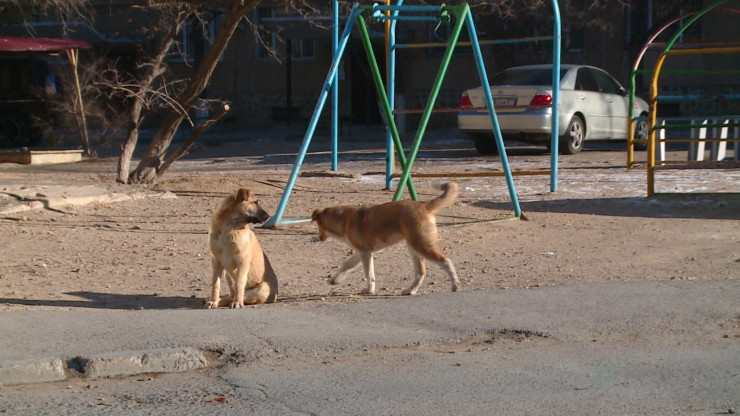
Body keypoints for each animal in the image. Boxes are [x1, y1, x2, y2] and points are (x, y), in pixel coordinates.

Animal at [311, 182, 460, 296]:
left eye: (317, 224)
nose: (319, 238)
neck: (342, 219)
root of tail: (424, 204)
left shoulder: (365, 254)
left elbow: (369, 274)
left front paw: (369, 290)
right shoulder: (361, 252)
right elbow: (346, 265)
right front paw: (335, 280)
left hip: (421, 245)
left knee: (446, 262)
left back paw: (455, 286)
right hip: (414, 248)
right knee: (421, 273)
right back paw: (410, 290)